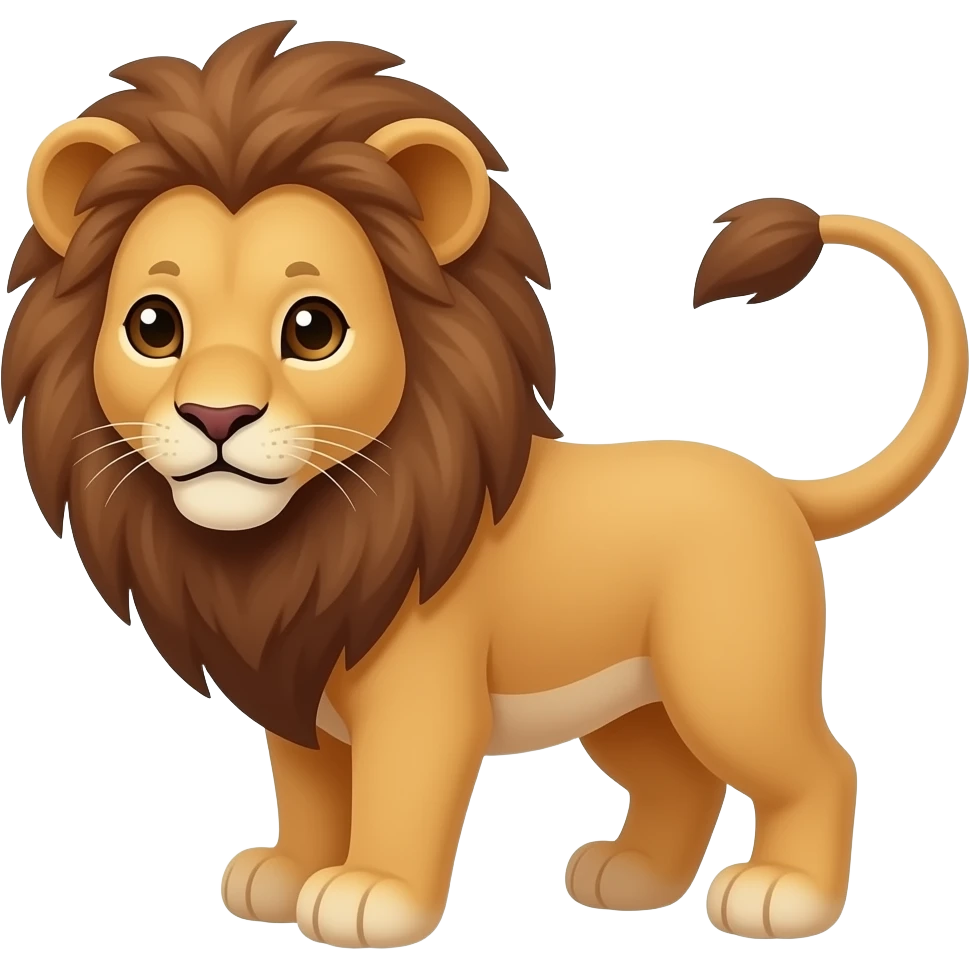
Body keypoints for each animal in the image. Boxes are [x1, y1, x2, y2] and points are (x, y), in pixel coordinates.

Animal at [2, 20, 967, 949]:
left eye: (314, 328)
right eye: (152, 325)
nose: (216, 414)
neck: (299, 539)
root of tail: (776, 487)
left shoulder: (423, 698)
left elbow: (399, 796)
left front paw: (368, 896)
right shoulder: (297, 693)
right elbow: (310, 793)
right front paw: (283, 876)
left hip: (727, 678)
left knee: (821, 767)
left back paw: (785, 896)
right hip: (632, 701)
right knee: (679, 782)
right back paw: (632, 880)